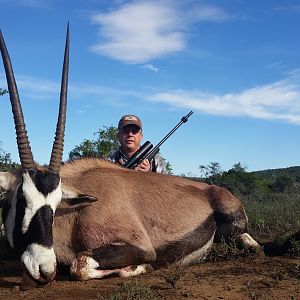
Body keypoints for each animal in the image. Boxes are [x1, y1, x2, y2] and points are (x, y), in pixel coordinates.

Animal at [0, 27, 260, 288]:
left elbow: (79, 264)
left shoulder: (140, 247)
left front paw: (141, 268)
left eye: (55, 205)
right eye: (21, 201)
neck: (76, 215)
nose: (44, 269)